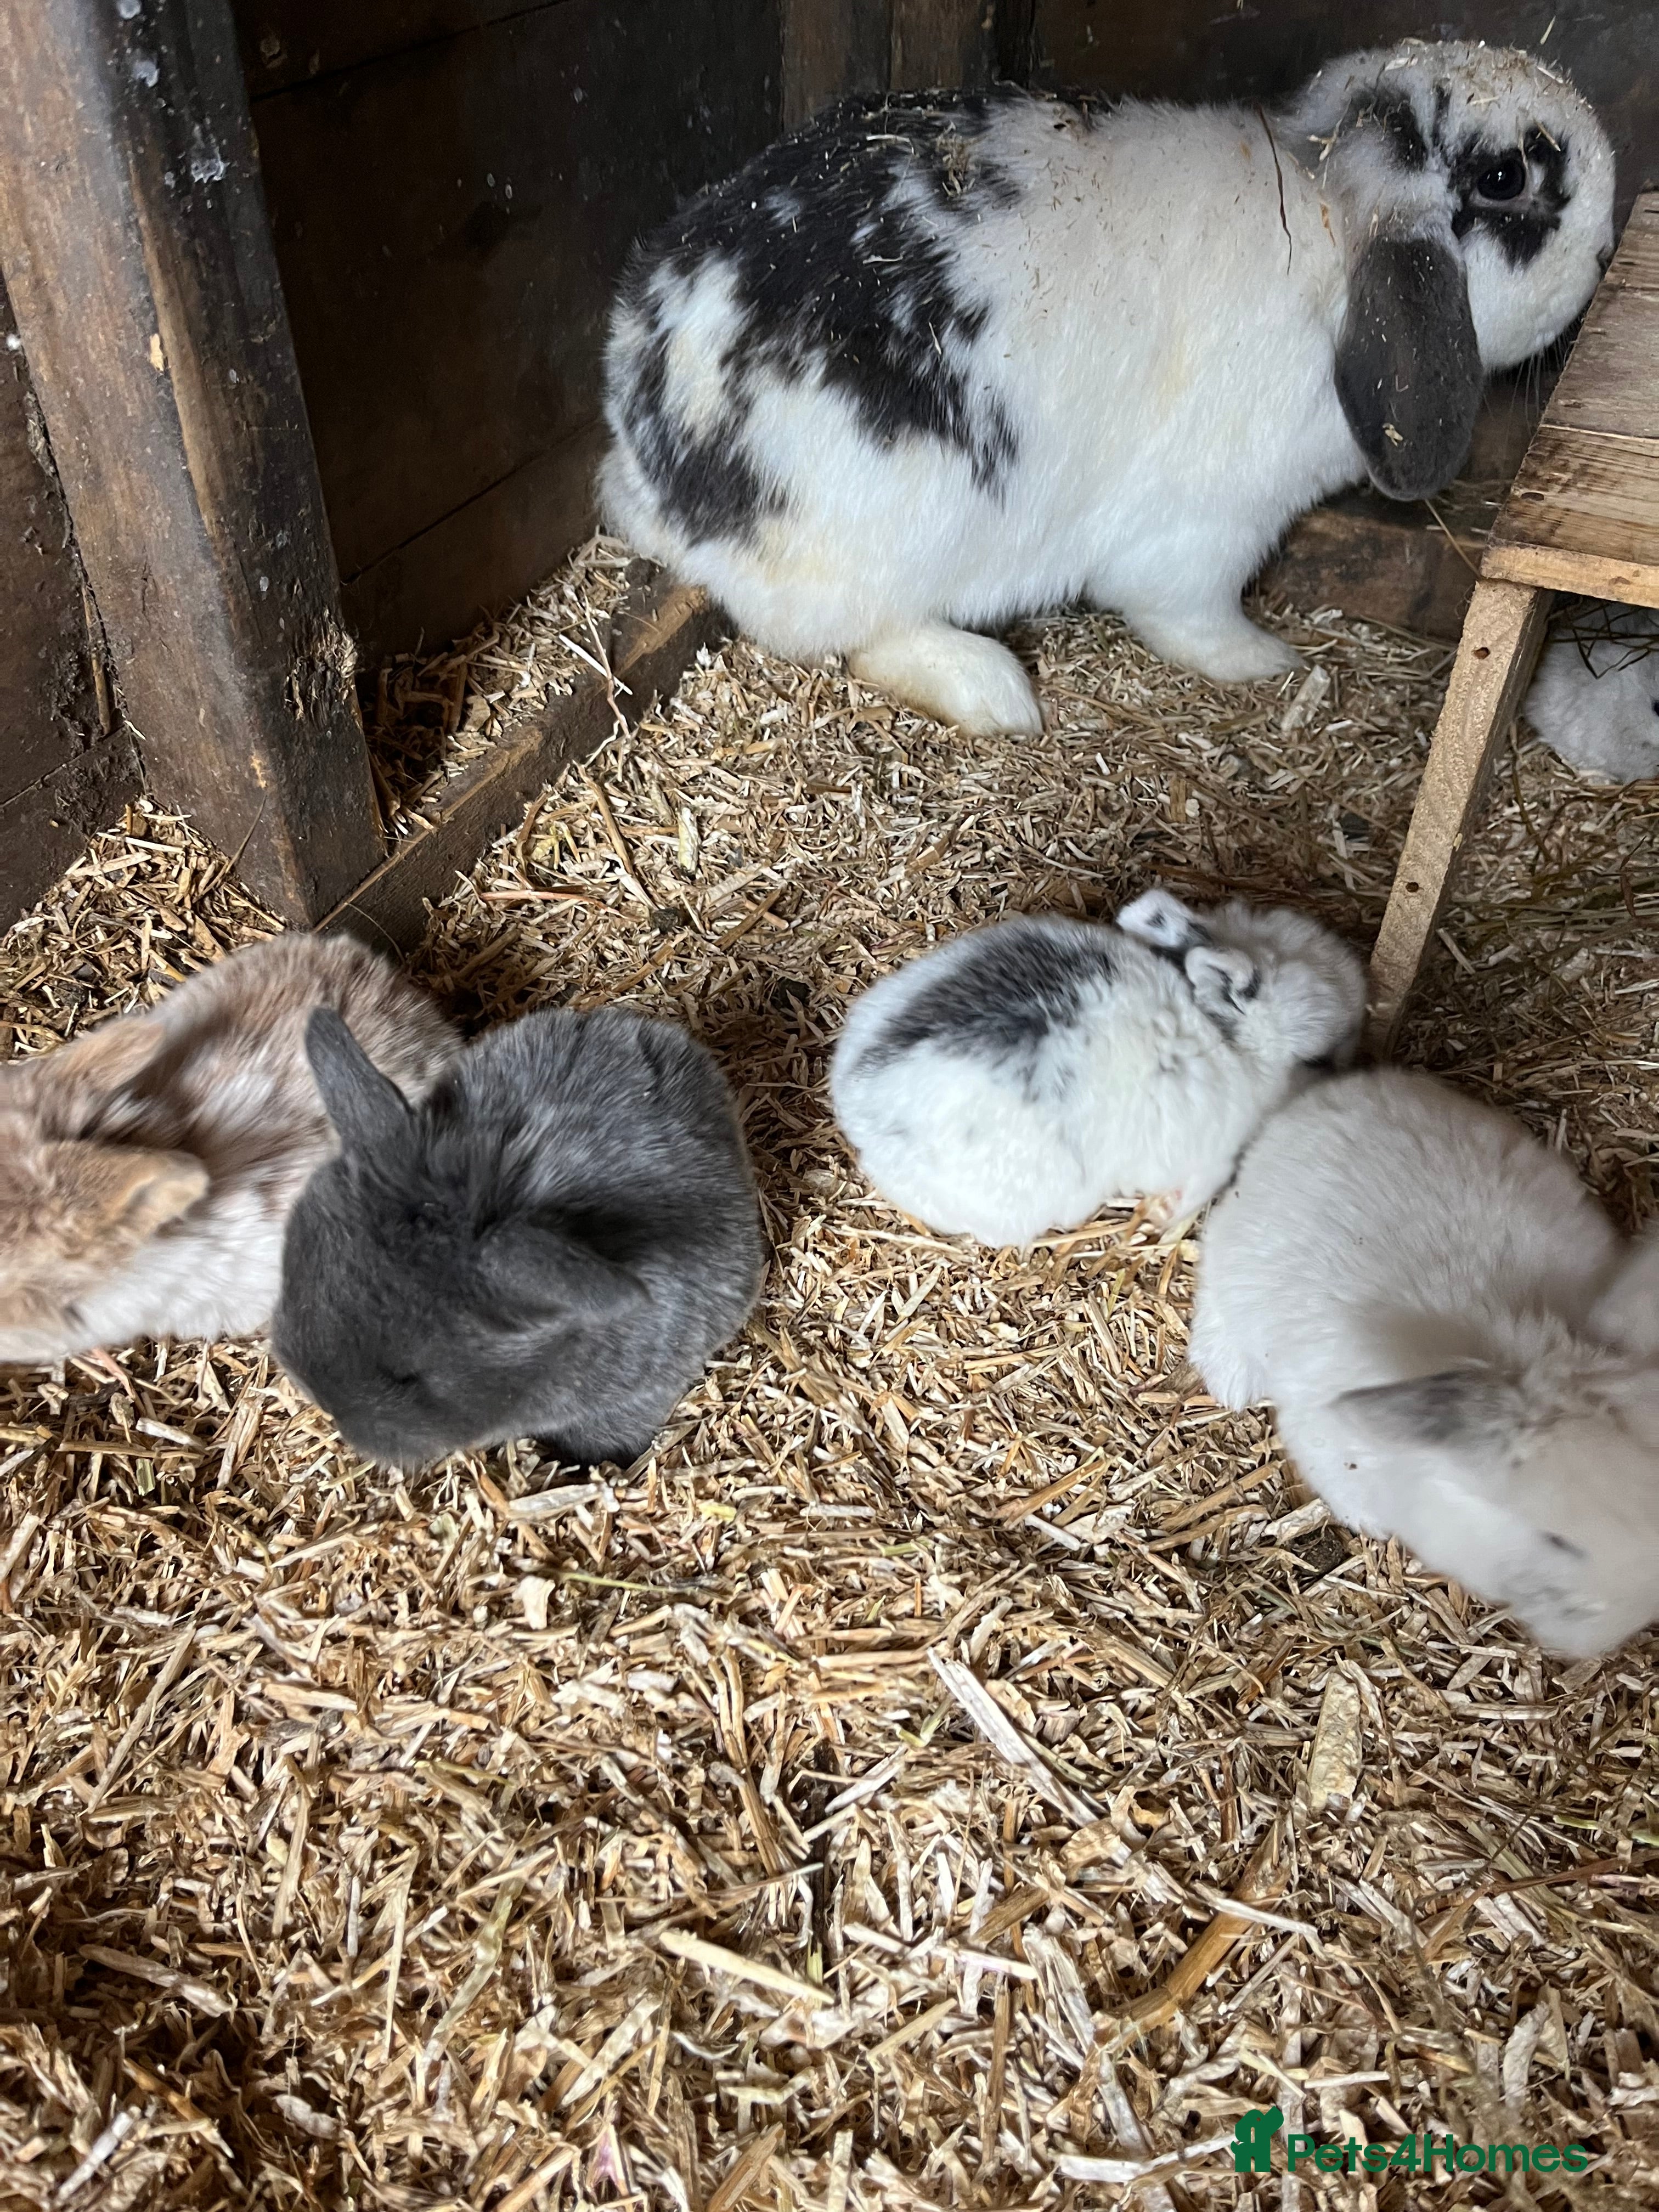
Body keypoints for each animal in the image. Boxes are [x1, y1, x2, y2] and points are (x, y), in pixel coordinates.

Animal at [600, 42, 1613, 735]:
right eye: (1506, 176)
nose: (1606, 251)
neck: (1327, 227)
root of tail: (653, 469)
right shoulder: (1208, 525)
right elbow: (1184, 612)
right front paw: (1263, 661)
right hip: (894, 536)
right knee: (861, 635)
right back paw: (995, 691)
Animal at [1189, 1067, 1659, 1657]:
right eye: (1558, 1541)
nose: (1605, 1637)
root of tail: (1319, 1097)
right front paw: (1369, 1524)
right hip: (1232, 1261)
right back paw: (1230, 1380)